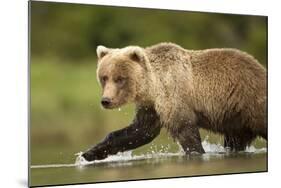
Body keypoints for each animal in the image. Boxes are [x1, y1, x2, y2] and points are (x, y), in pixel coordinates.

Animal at [80, 42, 264, 162]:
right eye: (104, 77)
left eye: (120, 79)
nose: (106, 100)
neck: (152, 86)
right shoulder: (151, 106)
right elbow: (140, 132)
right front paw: (88, 153)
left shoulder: (173, 95)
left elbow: (185, 130)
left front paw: (197, 152)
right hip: (235, 118)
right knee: (235, 140)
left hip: (249, 101)